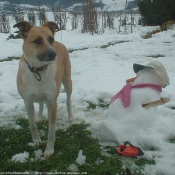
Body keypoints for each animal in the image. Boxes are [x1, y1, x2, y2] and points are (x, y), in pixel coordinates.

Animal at [13, 21, 72, 157]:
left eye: (51, 39)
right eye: (37, 41)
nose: (54, 54)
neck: (38, 70)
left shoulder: (52, 102)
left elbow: (51, 130)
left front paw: (49, 150)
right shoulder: (28, 101)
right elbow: (32, 124)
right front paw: (36, 140)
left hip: (67, 81)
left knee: (68, 99)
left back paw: (70, 117)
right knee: (40, 103)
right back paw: (39, 117)